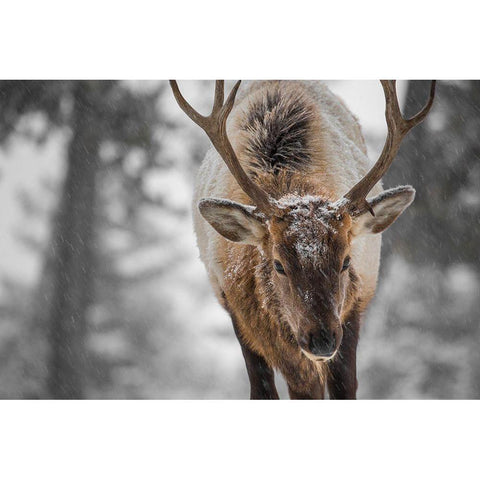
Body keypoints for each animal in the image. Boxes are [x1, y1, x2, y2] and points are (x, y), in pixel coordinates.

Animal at [170, 80, 436, 400]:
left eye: (346, 261)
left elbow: (344, 388)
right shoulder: (239, 313)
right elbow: (265, 390)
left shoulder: (352, 308)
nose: (321, 340)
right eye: (278, 264)